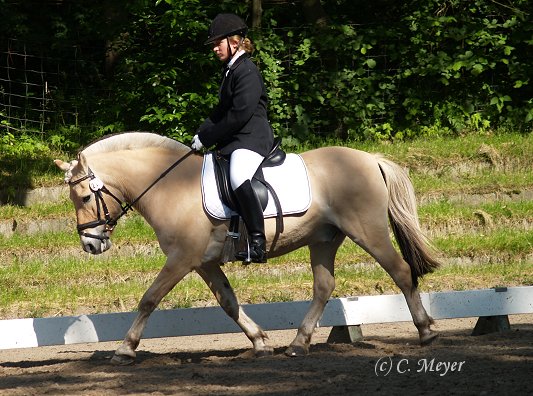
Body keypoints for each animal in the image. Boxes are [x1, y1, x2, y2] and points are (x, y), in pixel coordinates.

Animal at [54, 131, 438, 366]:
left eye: (84, 197)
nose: (90, 243)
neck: (169, 186)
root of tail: (370, 158)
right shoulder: (203, 262)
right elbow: (228, 301)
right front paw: (260, 341)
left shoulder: (181, 259)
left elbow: (149, 299)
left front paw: (124, 349)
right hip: (324, 239)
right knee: (324, 286)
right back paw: (298, 344)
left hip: (367, 231)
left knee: (401, 271)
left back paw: (426, 331)